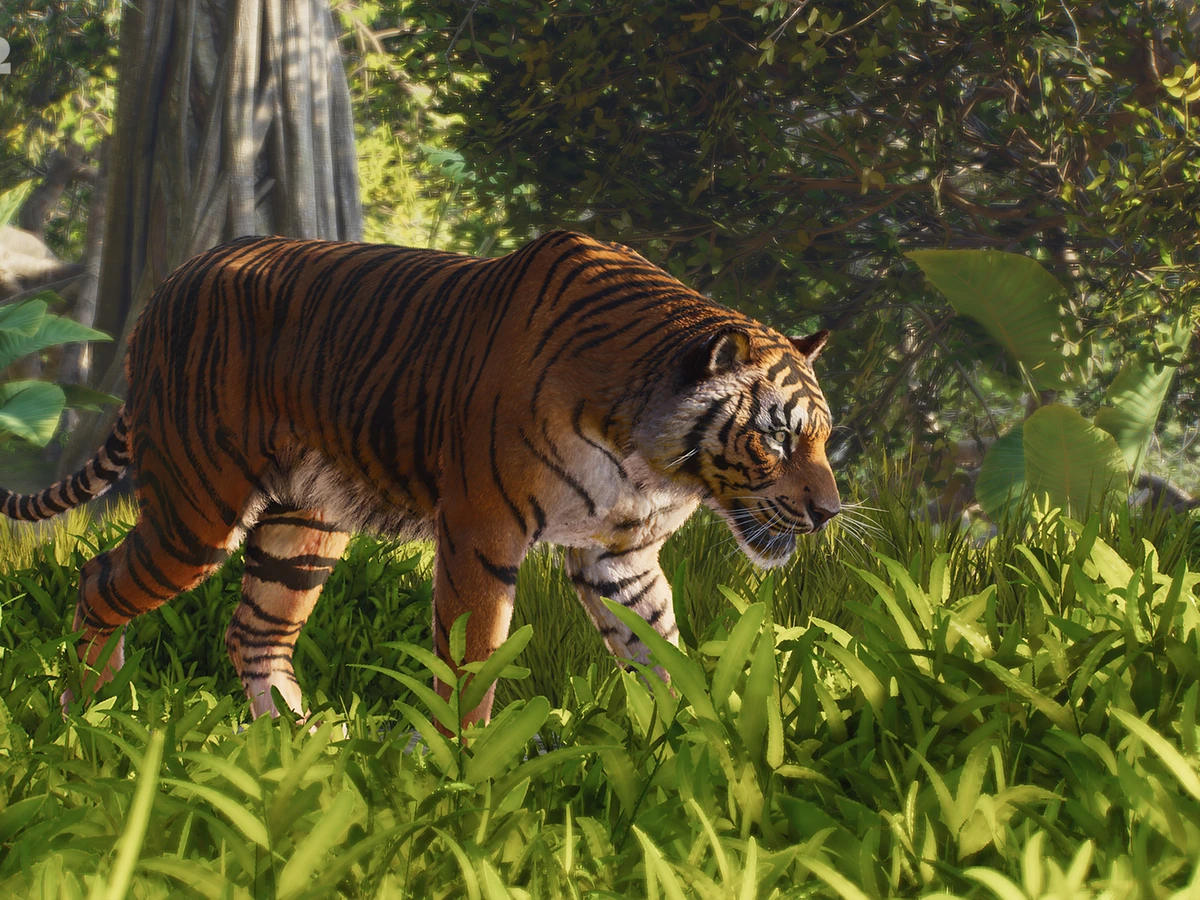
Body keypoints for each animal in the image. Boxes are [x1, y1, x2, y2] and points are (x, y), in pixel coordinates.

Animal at [0, 230, 840, 727]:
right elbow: (473, 661)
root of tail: (171, 283)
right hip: (198, 506)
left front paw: (693, 738)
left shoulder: (619, 558)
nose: (831, 512)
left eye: (826, 438)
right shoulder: (482, 531)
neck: (648, 455)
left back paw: (300, 744)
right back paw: (83, 712)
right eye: (776, 437)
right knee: (99, 577)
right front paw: (462, 773)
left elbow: (661, 649)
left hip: (303, 526)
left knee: (256, 630)